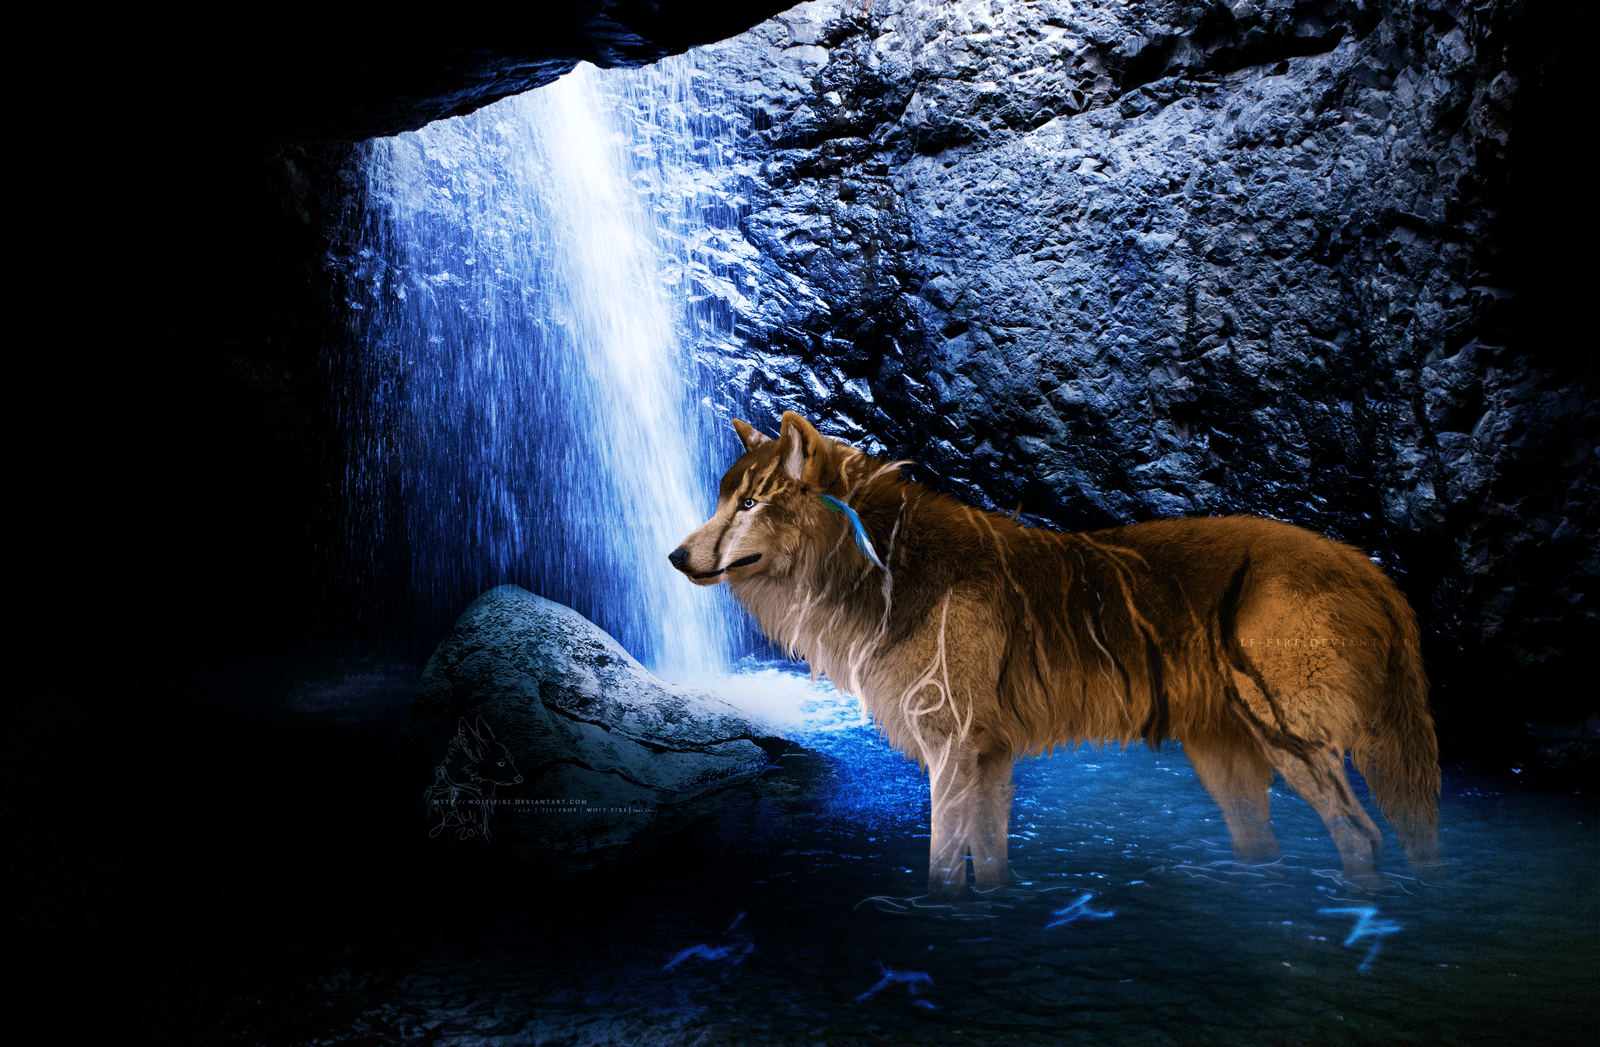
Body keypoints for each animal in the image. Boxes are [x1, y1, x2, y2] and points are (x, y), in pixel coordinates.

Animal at [670, 412, 1439, 898]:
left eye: (752, 503)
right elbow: (990, 866)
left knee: (1363, 837)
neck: (882, 572)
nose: (675, 556)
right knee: (1270, 852)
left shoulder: (954, 752)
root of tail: (1370, 568)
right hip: (1225, 762)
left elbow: (943, 869)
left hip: (1290, 745)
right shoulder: (989, 757)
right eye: (723, 499)